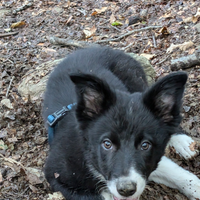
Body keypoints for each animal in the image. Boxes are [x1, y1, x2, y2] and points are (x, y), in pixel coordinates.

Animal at [42, 46, 200, 199]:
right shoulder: (56, 176)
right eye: (107, 144)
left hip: (135, 81)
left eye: (145, 145)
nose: (126, 190)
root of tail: (90, 48)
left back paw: (183, 141)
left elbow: (169, 168)